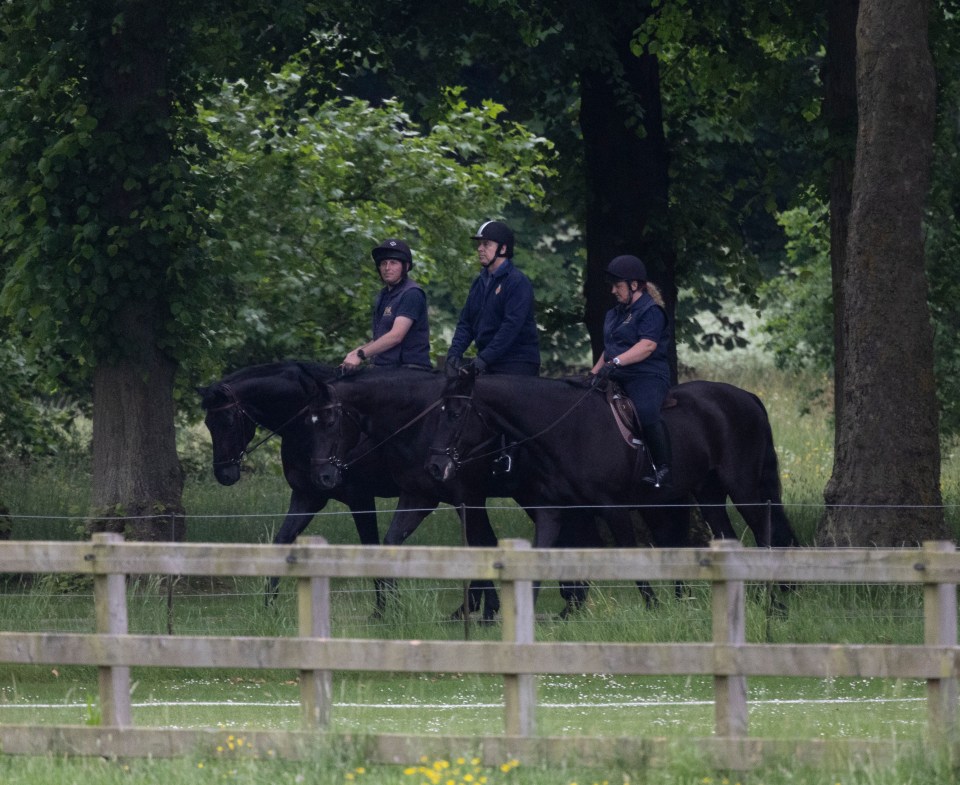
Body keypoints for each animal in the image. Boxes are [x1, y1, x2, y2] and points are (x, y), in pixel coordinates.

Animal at [197, 358, 400, 608]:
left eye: (229, 421)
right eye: (208, 423)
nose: (224, 474)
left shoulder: (360, 498)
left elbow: (372, 547)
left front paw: (387, 609)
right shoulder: (308, 496)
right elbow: (282, 541)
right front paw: (268, 607)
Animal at [308, 364, 676, 616]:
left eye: (329, 421)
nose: (323, 475)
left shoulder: (467, 498)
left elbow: (480, 544)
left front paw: (485, 609)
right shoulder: (420, 495)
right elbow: (392, 541)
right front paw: (386, 610)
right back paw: (573, 602)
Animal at [424, 370, 800, 556]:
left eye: (455, 413)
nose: (434, 467)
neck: (566, 428)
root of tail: (748, 397)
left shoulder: (615, 509)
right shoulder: (552, 511)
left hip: (744, 488)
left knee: (769, 535)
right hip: (708, 494)